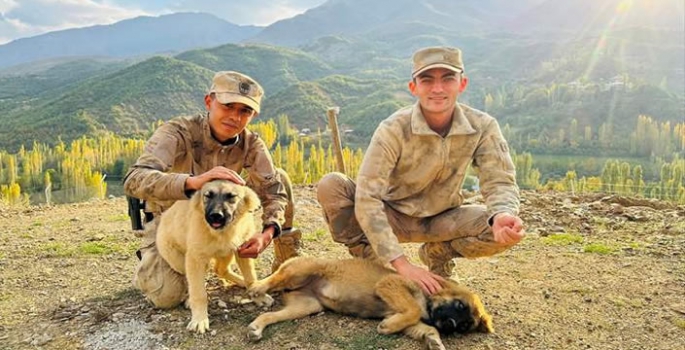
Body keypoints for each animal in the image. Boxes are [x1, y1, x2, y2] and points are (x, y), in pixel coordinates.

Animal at [156, 180, 272, 334]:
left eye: (231, 196)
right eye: (208, 196)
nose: (216, 216)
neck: (221, 233)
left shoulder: (243, 249)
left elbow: (250, 277)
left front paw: (258, 294)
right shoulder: (195, 258)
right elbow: (198, 292)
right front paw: (199, 319)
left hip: (227, 252)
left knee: (220, 270)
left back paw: (242, 282)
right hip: (177, 259)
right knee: (188, 278)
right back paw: (188, 297)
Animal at [246, 256, 492, 348]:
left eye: (464, 326)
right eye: (460, 306)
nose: (450, 325)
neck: (428, 303)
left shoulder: (409, 320)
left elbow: (424, 327)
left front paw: (435, 340)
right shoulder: (390, 284)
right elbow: (412, 309)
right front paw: (388, 327)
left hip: (305, 306)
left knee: (270, 315)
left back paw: (256, 327)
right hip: (301, 270)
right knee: (273, 278)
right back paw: (258, 291)